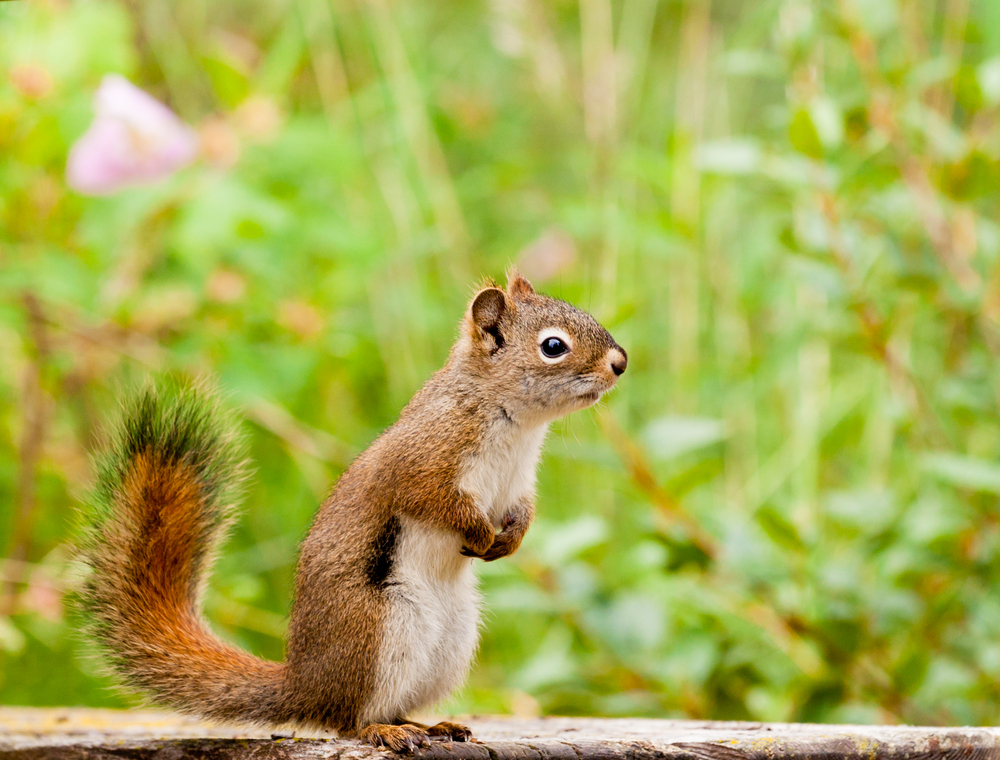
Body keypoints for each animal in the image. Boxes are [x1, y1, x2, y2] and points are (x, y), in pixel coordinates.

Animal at [80, 270, 627, 752]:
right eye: (553, 346)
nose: (620, 363)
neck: (516, 424)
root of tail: (304, 685)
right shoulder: (424, 462)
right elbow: (435, 501)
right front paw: (477, 532)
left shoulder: (517, 484)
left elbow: (523, 512)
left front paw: (509, 541)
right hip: (377, 630)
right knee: (350, 719)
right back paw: (383, 731)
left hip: (450, 642)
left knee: (391, 707)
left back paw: (432, 725)